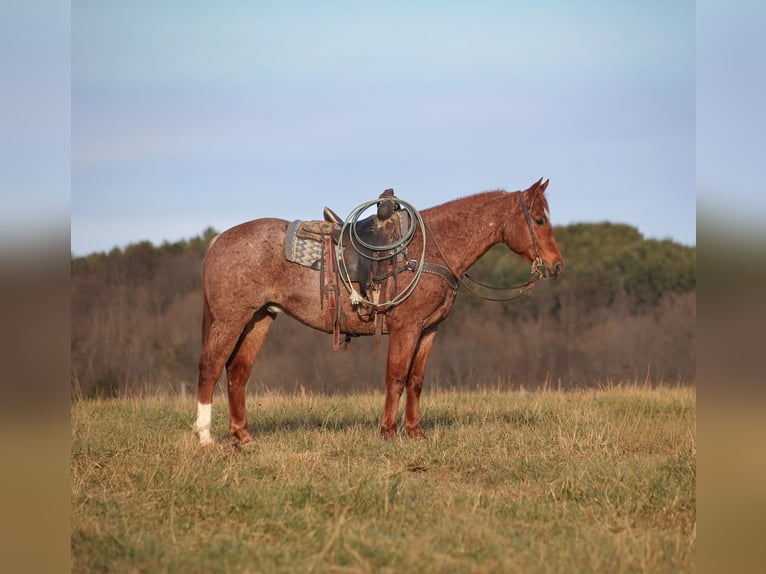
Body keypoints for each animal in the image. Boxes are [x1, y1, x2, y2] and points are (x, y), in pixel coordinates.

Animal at [193, 178, 563, 445]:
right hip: (230, 319)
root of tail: (218, 241)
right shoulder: (406, 328)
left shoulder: (428, 330)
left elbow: (416, 380)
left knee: (237, 373)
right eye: (539, 220)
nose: (556, 266)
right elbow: (396, 377)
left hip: (259, 319)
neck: (428, 251)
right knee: (210, 367)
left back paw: (243, 437)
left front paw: (415, 433)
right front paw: (388, 432)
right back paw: (205, 437)